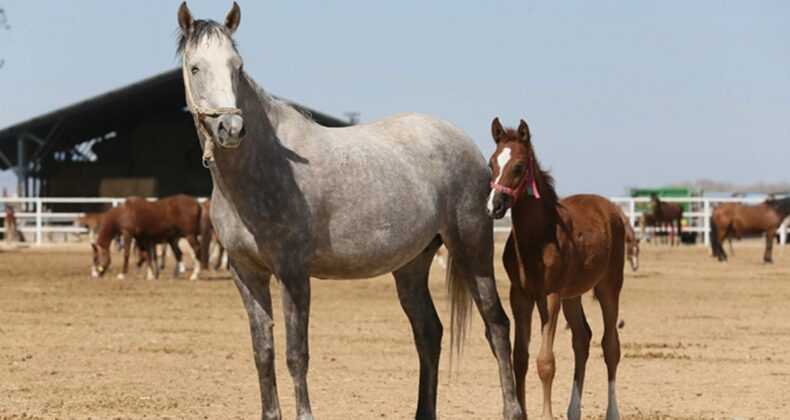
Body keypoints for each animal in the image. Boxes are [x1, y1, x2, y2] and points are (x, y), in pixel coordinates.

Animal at [177, 4, 524, 420]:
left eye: (237, 66)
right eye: (195, 67)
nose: (231, 128)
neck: (262, 167)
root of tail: (468, 145)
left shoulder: (293, 272)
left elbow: (296, 355)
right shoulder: (246, 274)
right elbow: (263, 353)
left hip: (472, 251)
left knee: (497, 325)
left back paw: (512, 409)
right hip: (412, 264)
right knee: (429, 333)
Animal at [486, 118, 628, 420]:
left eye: (519, 166)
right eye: (491, 163)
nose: (494, 206)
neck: (537, 237)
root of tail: (609, 207)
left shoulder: (549, 296)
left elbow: (545, 362)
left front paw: (546, 414)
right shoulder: (520, 296)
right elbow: (520, 357)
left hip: (609, 287)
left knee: (610, 345)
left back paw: (612, 412)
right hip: (572, 294)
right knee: (582, 339)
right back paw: (573, 411)